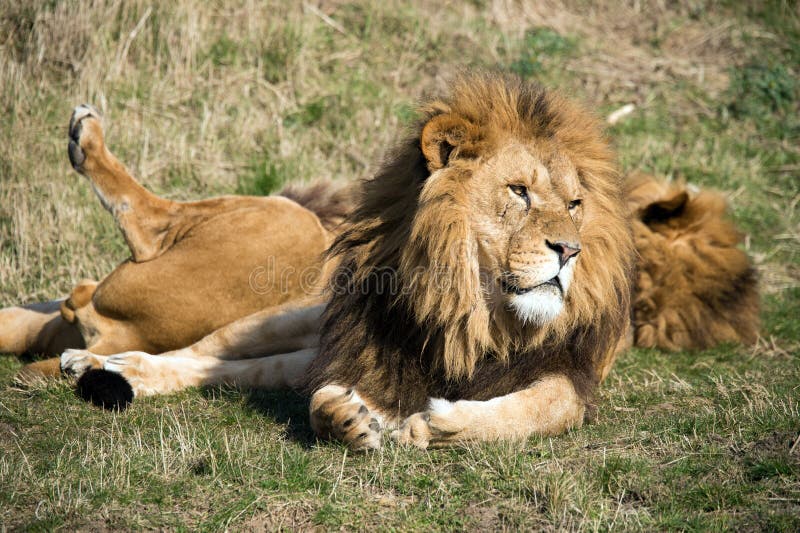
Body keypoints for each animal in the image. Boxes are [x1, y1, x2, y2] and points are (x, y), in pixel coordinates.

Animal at [2, 74, 759, 450]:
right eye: (519, 192)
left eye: (575, 205)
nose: (568, 250)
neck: (479, 310)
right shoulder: (358, 351)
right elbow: (326, 400)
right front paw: (353, 419)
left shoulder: (570, 375)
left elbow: (541, 411)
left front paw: (442, 423)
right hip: (284, 291)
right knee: (177, 317)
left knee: (196, 361)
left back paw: (92, 364)